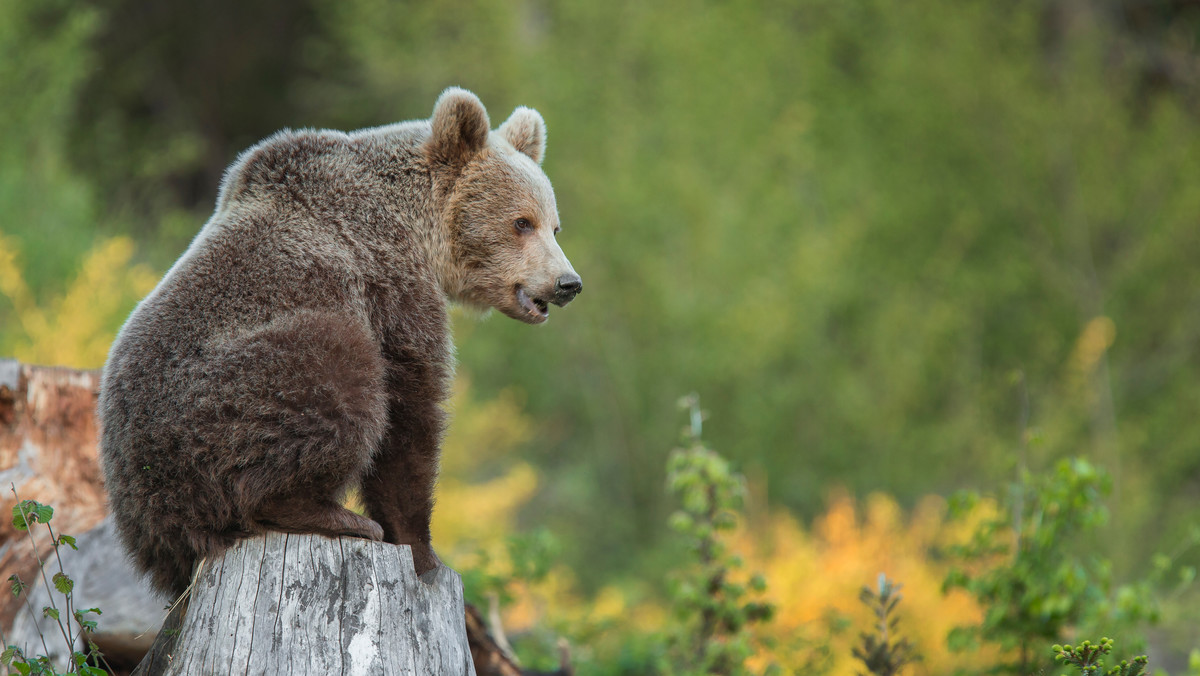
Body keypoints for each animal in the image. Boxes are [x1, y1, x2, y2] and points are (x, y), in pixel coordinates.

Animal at [98, 85, 580, 597]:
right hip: (215, 404)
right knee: (336, 379)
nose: (568, 282)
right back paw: (332, 515)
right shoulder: (386, 279)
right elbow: (409, 408)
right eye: (521, 222)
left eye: (554, 226)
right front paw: (422, 553)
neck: (418, 228)